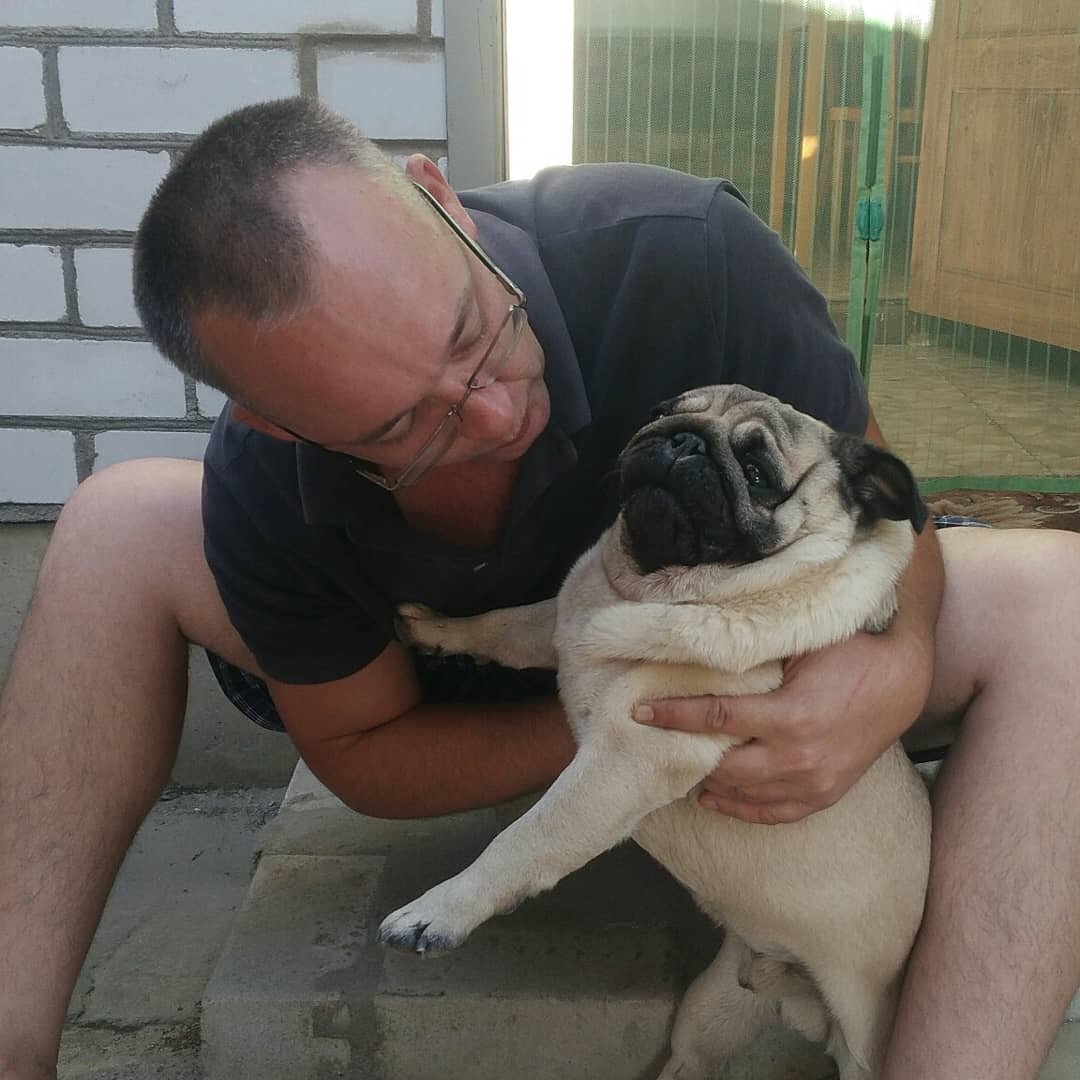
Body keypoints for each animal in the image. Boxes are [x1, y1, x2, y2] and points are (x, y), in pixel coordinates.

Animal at [379, 384, 932, 1079]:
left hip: (864, 1047)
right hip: (709, 1011)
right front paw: (436, 629)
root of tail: (792, 992)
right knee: (691, 1058)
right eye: (663, 411)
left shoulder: (629, 755)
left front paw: (438, 912)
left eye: (757, 473)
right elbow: (503, 624)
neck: (650, 591)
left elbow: (527, 839)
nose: (683, 439)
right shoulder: (560, 625)